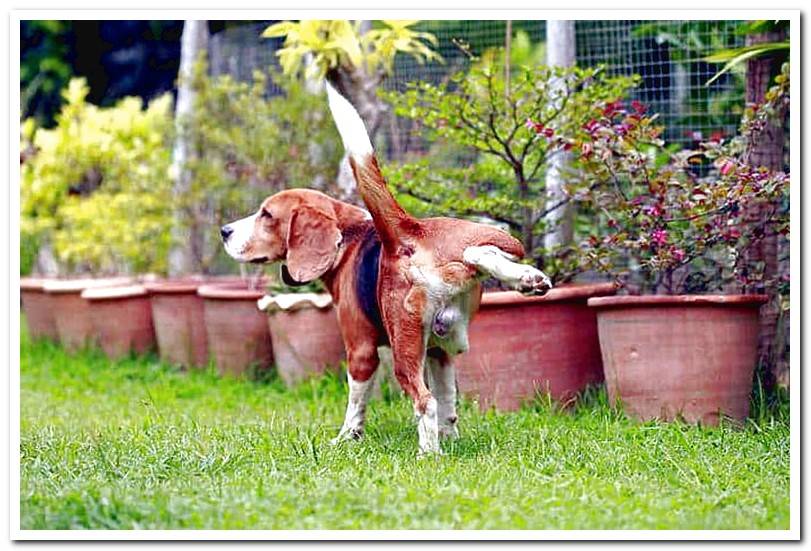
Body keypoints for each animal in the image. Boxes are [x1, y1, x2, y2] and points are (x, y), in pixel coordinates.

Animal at [222, 85, 552, 458]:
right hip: (481, 254)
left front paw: (346, 437)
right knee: (482, 253)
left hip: (402, 347)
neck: (349, 238)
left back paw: (428, 454)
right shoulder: (437, 353)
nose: (225, 231)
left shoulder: (361, 350)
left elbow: (357, 403)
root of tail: (406, 231)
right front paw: (450, 437)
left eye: (266, 215)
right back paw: (525, 278)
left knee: (424, 401)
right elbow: (449, 402)